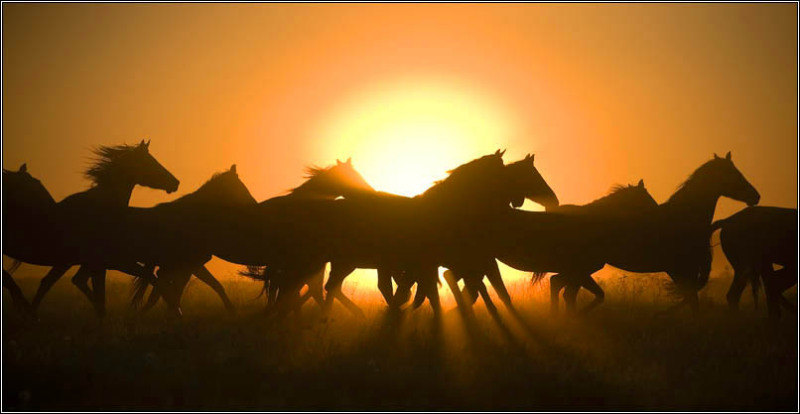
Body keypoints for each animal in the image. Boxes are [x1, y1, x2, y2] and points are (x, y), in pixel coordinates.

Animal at [490, 152, 760, 314]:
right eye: (734, 174)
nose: (755, 196)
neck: (684, 218)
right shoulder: (680, 268)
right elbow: (691, 299)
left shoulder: (684, 270)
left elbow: (691, 298)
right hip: (582, 267)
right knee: (563, 288)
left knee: (562, 287)